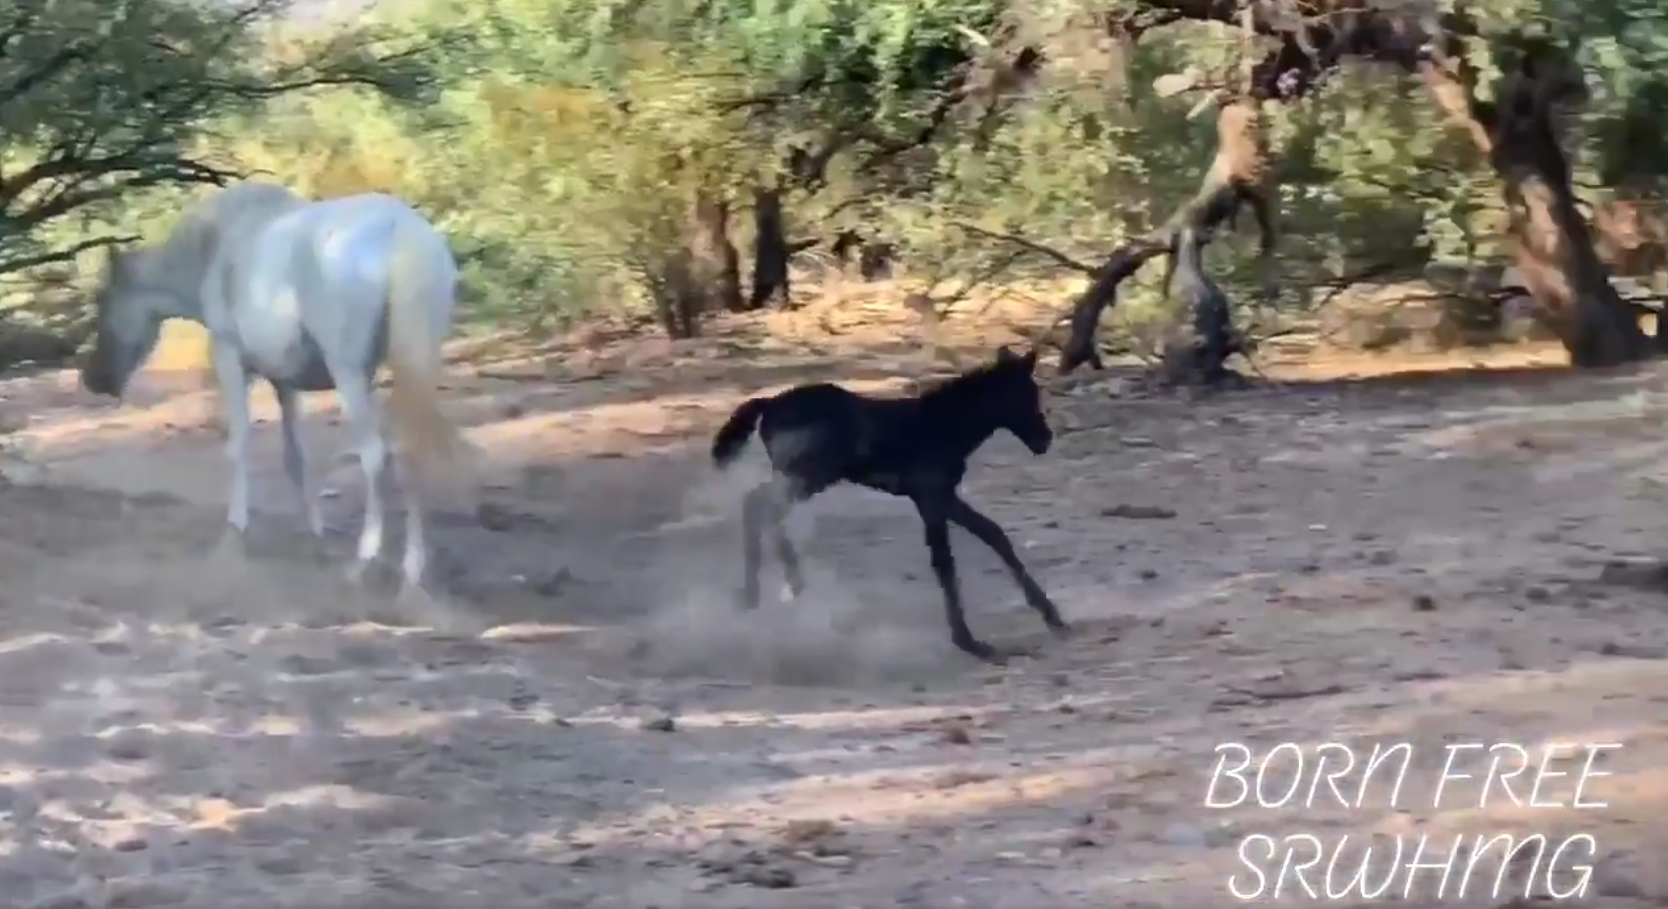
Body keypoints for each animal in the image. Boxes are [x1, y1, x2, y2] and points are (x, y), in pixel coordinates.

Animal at [80, 179, 476, 595]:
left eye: (103, 299)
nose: (93, 379)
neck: (213, 248)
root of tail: (399, 230)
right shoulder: (284, 381)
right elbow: (295, 459)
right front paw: (316, 538)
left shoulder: (230, 358)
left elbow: (238, 447)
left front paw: (234, 535)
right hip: (416, 366)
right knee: (410, 449)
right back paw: (413, 572)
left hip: (349, 372)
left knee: (373, 455)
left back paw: (364, 561)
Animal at [708, 345, 1069, 663]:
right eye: (1026, 394)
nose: (1045, 440)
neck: (944, 425)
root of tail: (768, 404)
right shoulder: (931, 495)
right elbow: (945, 563)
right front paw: (970, 642)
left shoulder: (942, 497)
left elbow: (993, 535)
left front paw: (1053, 617)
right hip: (805, 476)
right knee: (757, 506)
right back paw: (760, 594)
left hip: (799, 478)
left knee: (762, 510)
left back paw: (783, 591)